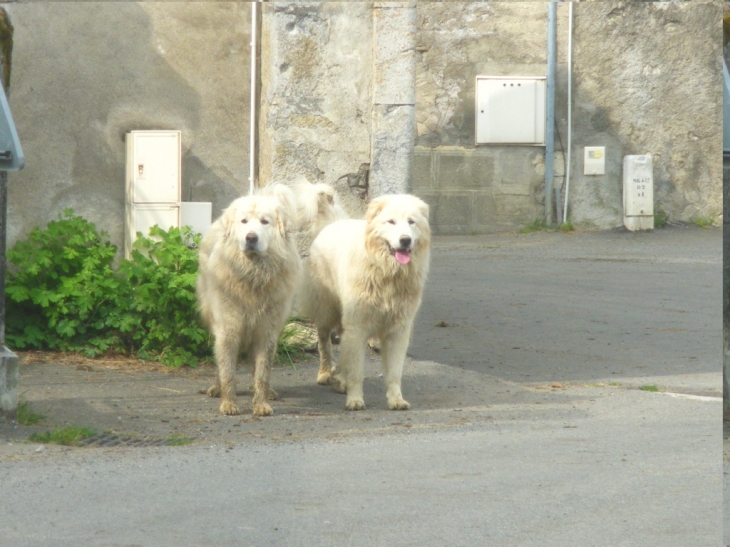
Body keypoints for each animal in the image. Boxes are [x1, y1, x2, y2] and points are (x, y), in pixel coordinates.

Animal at [195, 184, 300, 416]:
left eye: (264, 222)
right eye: (244, 221)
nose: (251, 238)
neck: (252, 276)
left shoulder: (266, 333)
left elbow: (262, 373)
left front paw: (261, 404)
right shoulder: (228, 330)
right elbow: (227, 371)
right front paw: (228, 403)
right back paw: (216, 388)